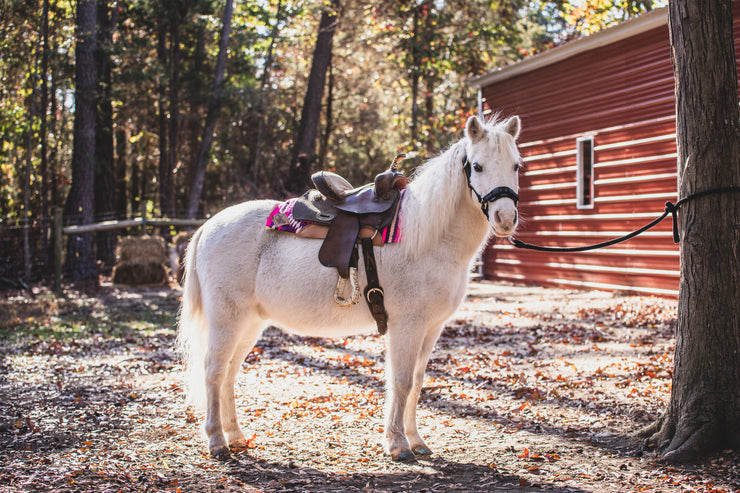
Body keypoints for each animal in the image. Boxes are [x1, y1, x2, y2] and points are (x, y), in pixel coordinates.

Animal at [178, 115, 520, 462]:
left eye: (517, 165)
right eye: (476, 166)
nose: (505, 218)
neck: (427, 236)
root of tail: (209, 225)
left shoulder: (431, 328)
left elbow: (417, 381)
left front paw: (416, 441)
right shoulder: (407, 326)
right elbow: (401, 382)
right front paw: (398, 444)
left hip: (250, 323)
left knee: (229, 372)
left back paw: (236, 436)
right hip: (227, 320)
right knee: (214, 371)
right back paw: (217, 441)